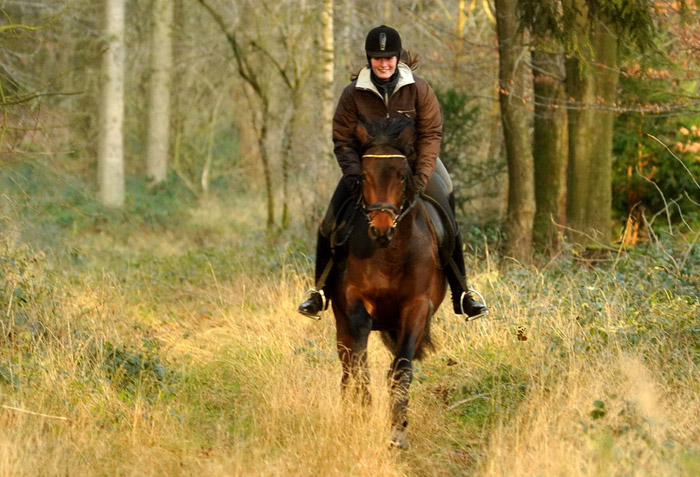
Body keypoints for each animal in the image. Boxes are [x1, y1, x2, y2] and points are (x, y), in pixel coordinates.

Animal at [330, 117, 448, 448]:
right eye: (364, 175)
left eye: (402, 174)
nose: (380, 229)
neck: (390, 254)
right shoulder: (354, 301)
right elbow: (359, 358)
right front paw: (363, 408)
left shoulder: (417, 307)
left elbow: (402, 368)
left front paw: (397, 429)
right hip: (340, 321)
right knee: (347, 363)